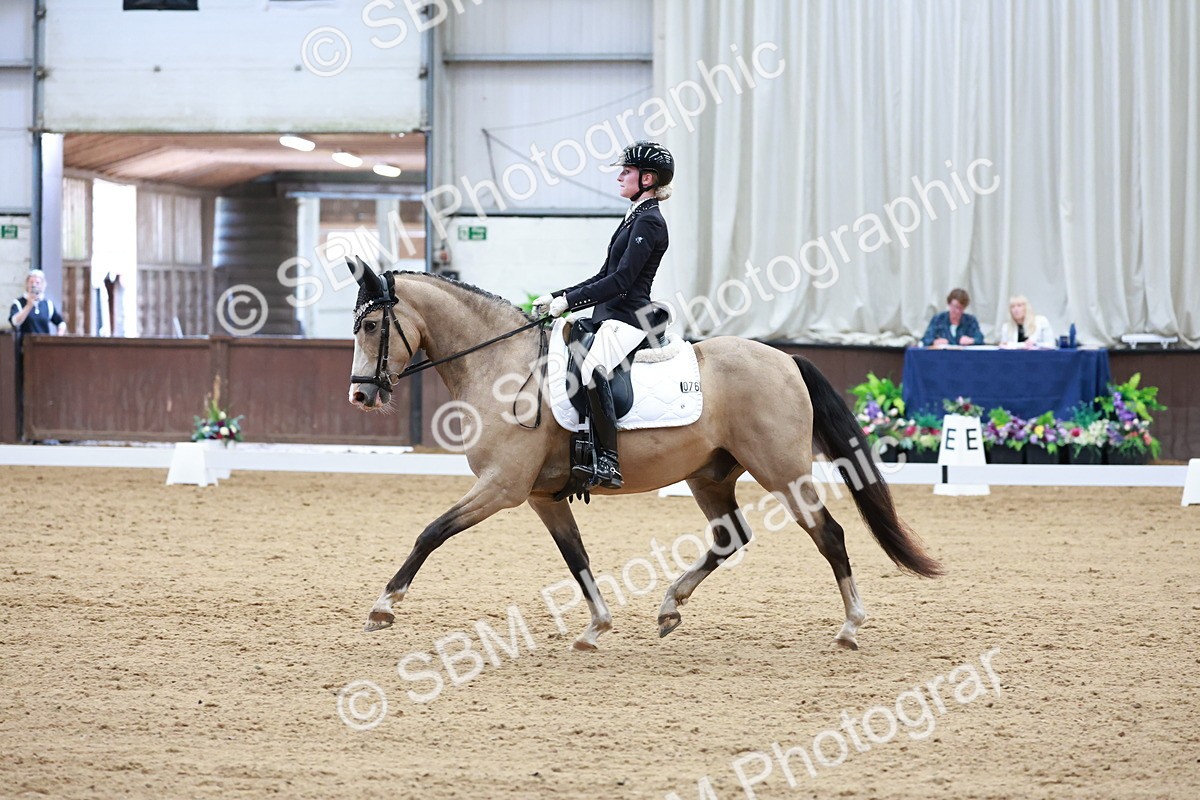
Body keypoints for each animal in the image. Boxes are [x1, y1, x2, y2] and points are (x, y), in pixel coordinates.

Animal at [346, 262, 941, 651]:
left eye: (372, 325)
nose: (360, 395)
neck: (503, 365)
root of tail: (785, 358)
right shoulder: (541, 496)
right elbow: (576, 557)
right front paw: (597, 627)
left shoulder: (502, 486)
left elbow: (431, 532)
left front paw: (384, 606)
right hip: (710, 475)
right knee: (730, 537)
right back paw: (670, 606)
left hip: (783, 471)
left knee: (830, 534)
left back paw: (850, 627)